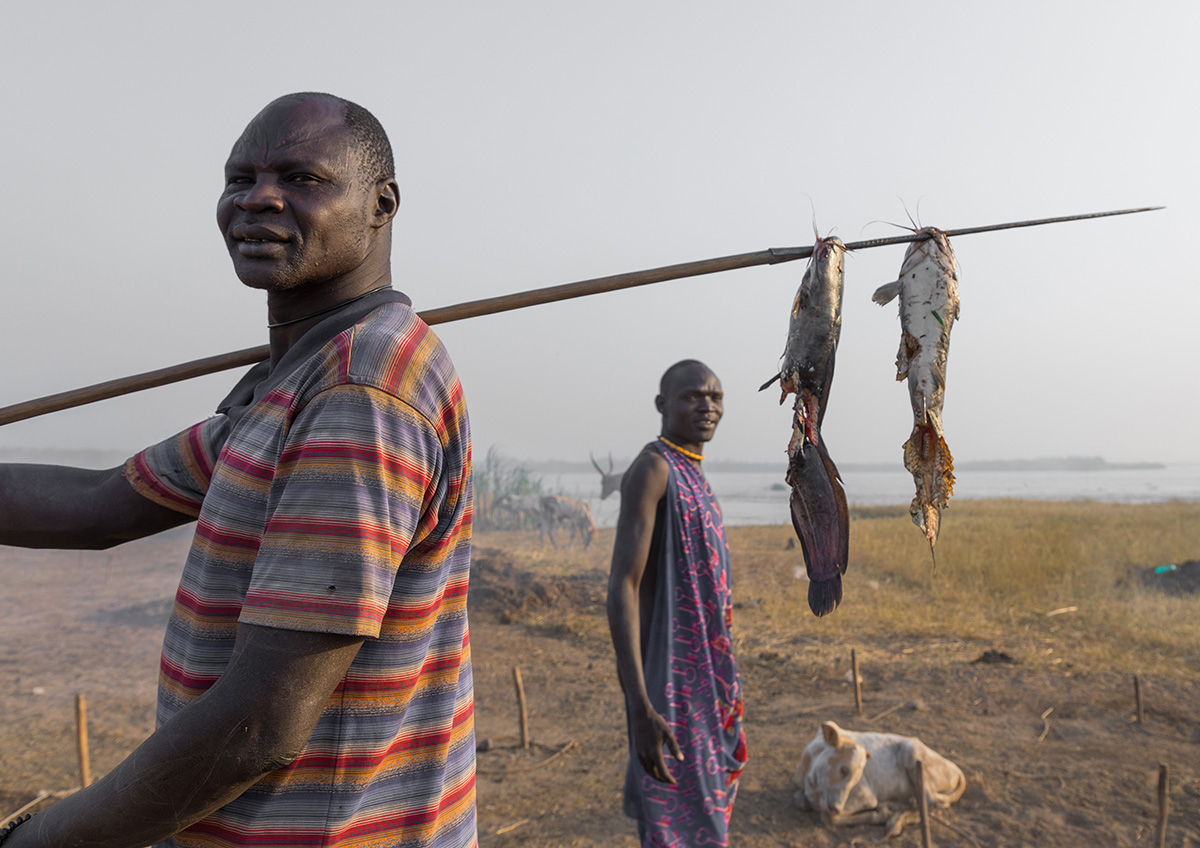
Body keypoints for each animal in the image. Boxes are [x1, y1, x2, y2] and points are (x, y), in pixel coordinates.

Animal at [796, 724, 964, 834]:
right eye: (844, 770)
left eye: (857, 778)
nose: (836, 807)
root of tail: (955, 769)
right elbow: (800, 801)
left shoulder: (866, 797)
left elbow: (828, 819)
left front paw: (882, 815)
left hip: (913, 753)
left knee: (934, 803)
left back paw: (895, 821)